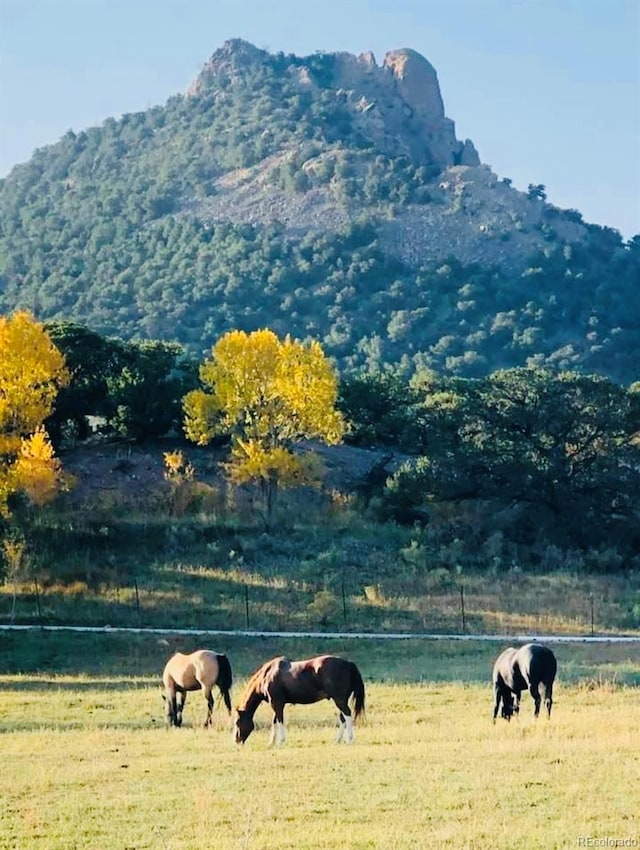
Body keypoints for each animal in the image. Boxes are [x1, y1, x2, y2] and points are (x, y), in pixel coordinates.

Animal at [234, 656, 364, 744]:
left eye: (237, 722)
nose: (236, 740)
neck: (268, 675)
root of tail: (347, 663)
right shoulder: (277, 703)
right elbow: (275, 721)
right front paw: (272, 742)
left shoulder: (277, 703)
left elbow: (279, 720)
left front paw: (281, 741)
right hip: (341, 700)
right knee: (343, 718)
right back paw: (337, 740)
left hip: (339, 699)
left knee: (347, 715)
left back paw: (349, 740)